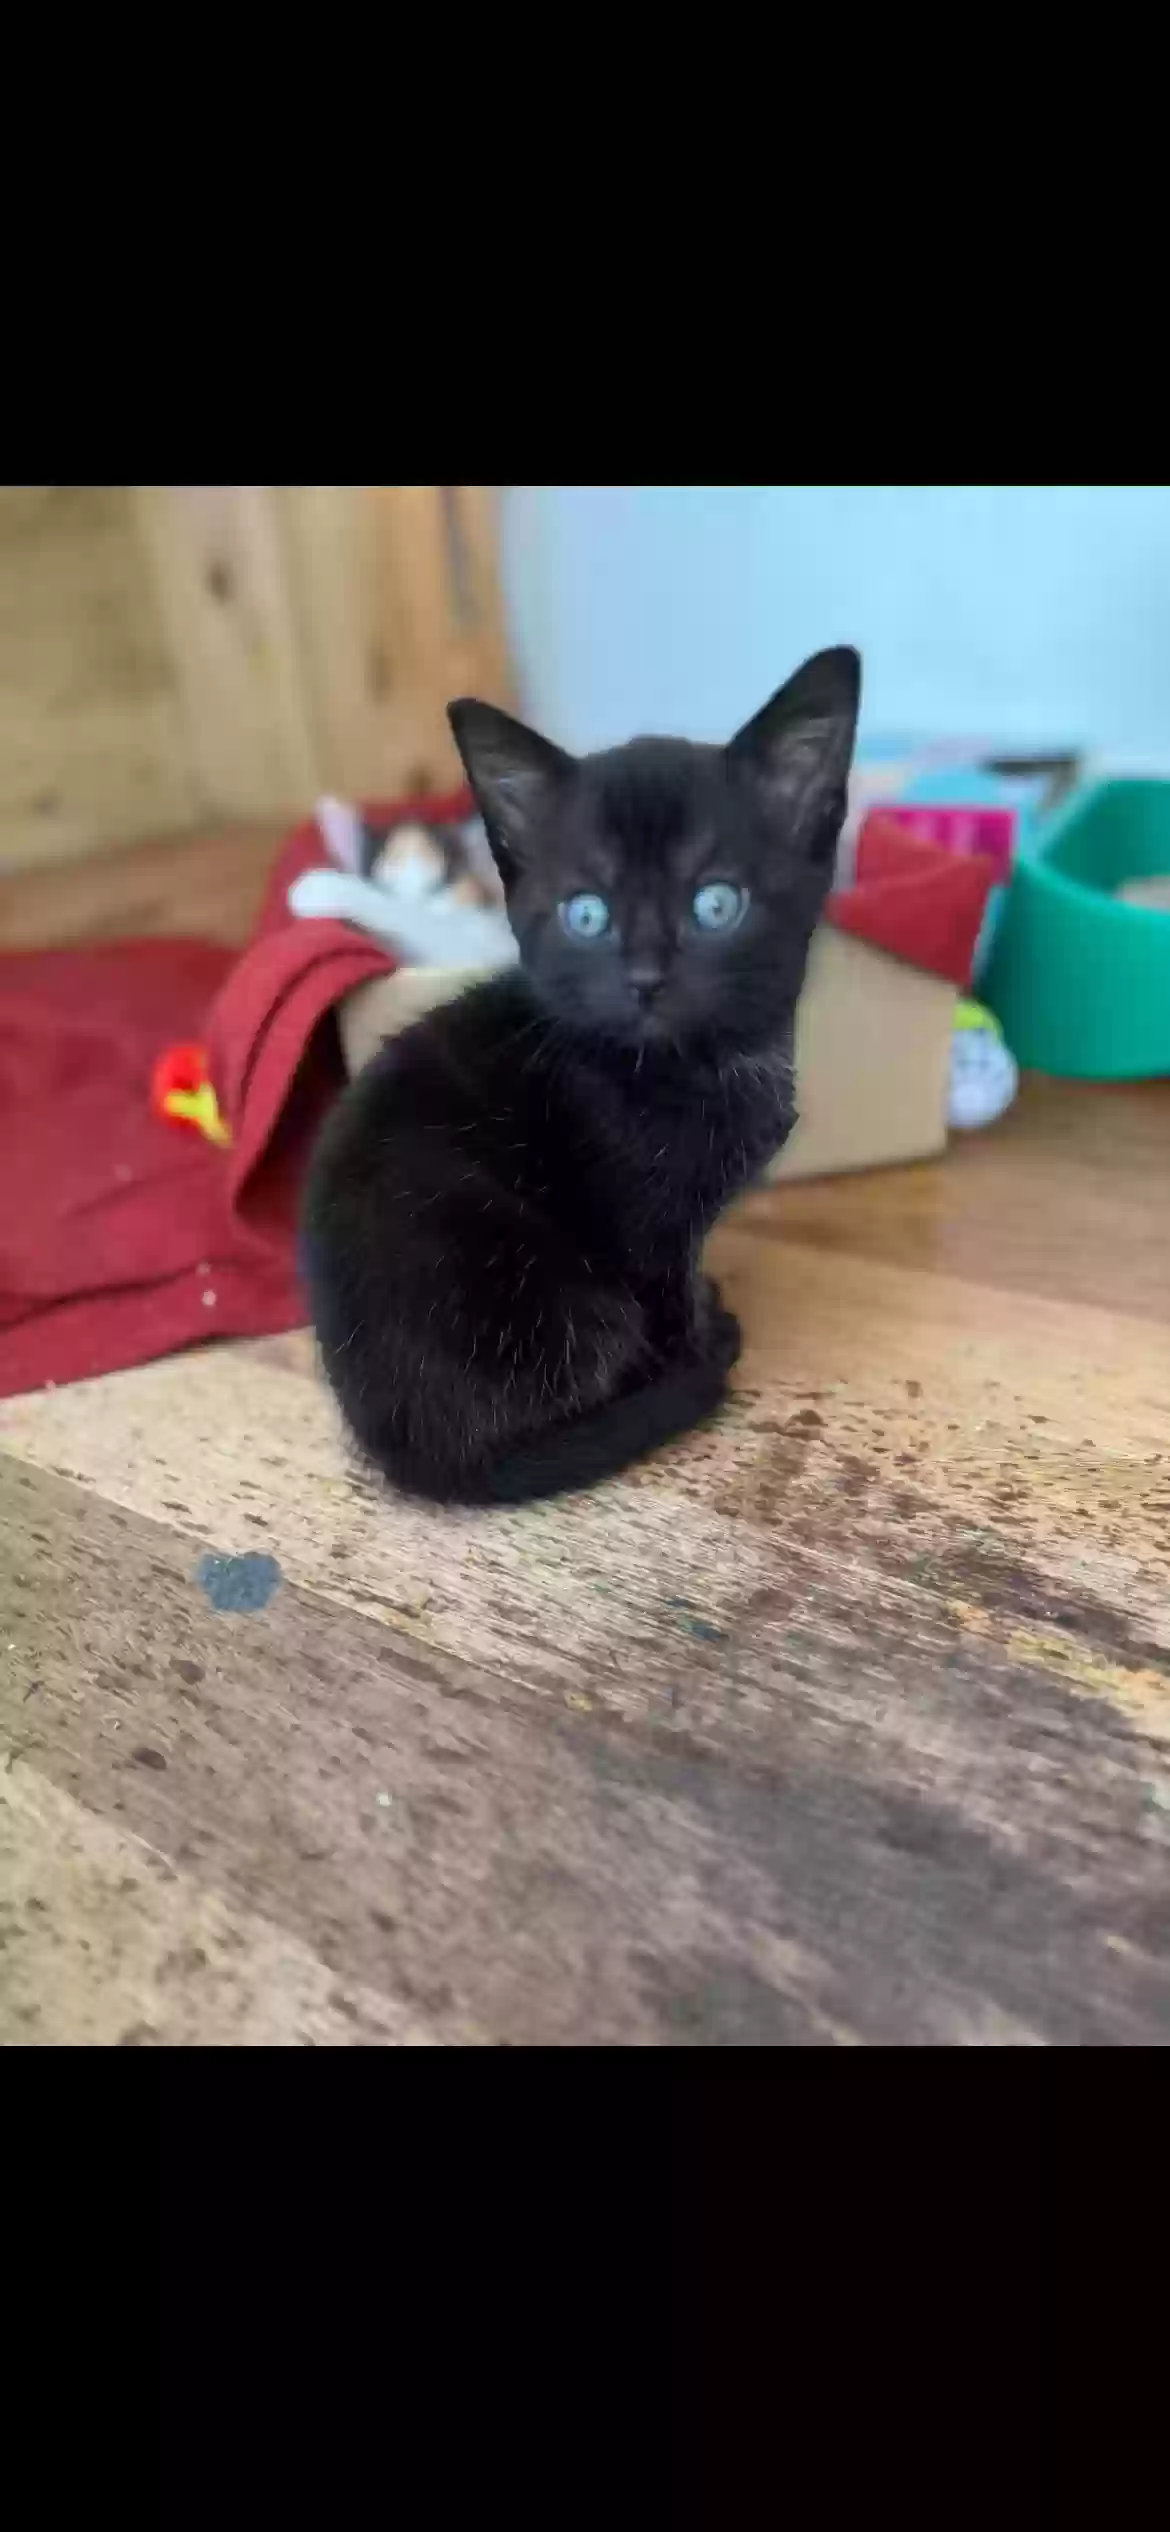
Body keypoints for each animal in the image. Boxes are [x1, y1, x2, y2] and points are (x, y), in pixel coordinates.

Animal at [303, 643, 861, 1498]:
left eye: (716, 905)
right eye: (587, 915)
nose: (646, 979)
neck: (696, 1065)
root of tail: (406, 1449)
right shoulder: (644, 1231)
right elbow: (668, 1300)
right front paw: (699, 1340)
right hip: (549, 1295)